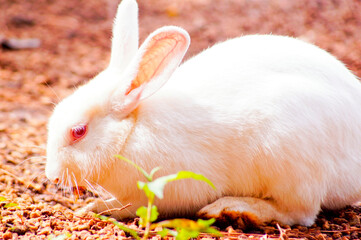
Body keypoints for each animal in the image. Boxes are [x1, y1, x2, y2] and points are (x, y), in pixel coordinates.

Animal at [45, 0, 360, 227]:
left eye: (78, 131)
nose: (51, 176)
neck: (130, 133)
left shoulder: (164, 190)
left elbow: (133, 206)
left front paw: (96, 207)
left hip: (291, 162)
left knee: (299, 213)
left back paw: (233, 209)